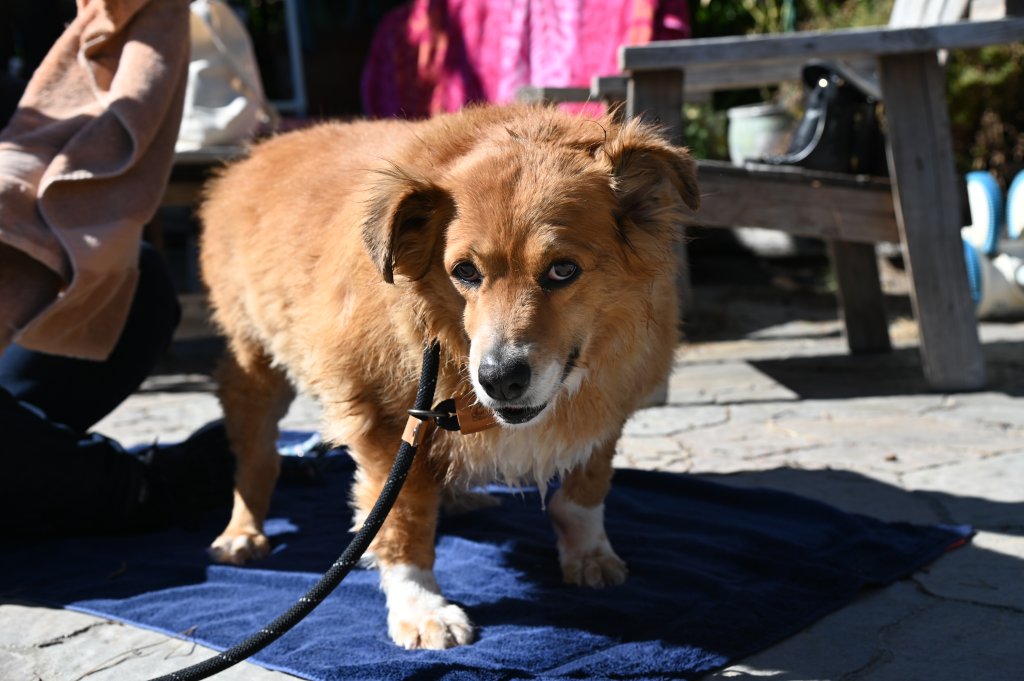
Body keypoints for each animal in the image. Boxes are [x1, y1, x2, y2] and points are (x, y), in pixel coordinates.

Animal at [197, 104, 696, 647]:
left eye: (563, 269)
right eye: (465, 272)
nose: (498, 379)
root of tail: (258, 152)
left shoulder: (610, 400)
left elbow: (586, 488)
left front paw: (588, 553)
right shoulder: (383, 422)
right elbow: (401, 519)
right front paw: (421, 607)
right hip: (255, 364)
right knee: (258, 456)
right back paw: (243, 531)